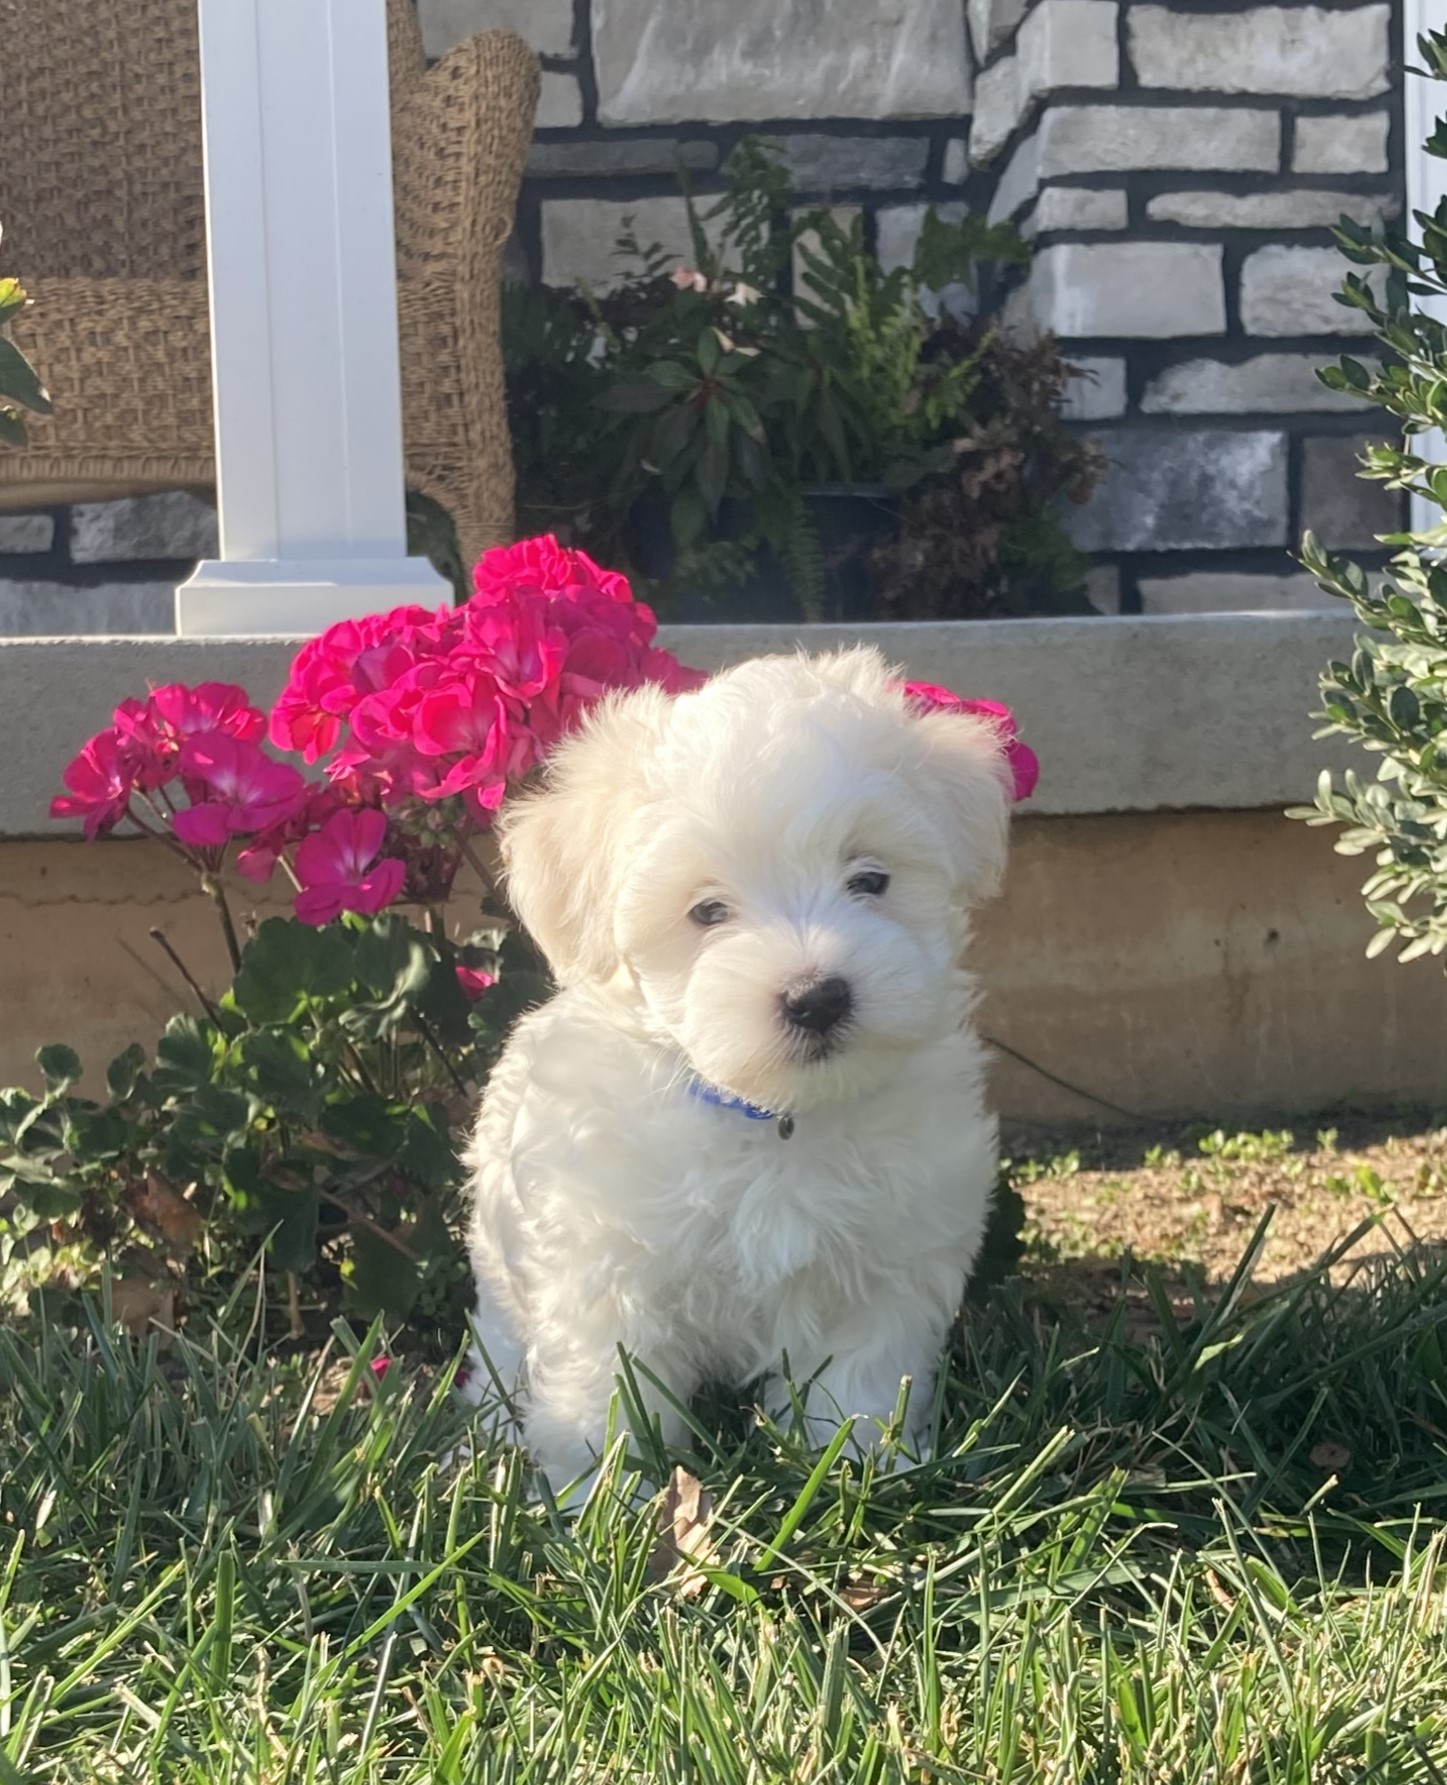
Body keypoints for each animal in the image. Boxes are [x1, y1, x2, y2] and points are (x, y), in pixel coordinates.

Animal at [463, 649, 1020, 1485]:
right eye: (706, 911)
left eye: (869, 878)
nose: (815, 997)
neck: (770, 1115)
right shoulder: (607, 1269)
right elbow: (606, 1390)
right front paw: (606, 1491)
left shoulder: (884, 1263)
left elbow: (860, 1375)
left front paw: (857, 1464)